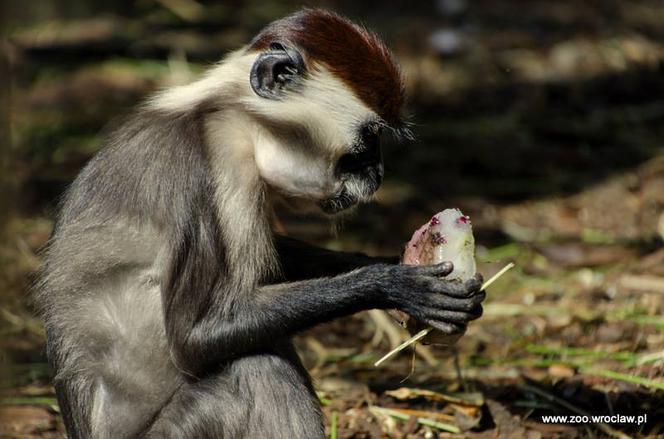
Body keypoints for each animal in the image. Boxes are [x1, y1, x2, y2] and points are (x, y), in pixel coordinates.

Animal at [35, 7, 482, 439]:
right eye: (368, 139)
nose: (379, 174)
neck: (222, 113)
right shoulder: (215, 167)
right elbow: (194, 339)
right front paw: (393, 284)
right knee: (258, 366)